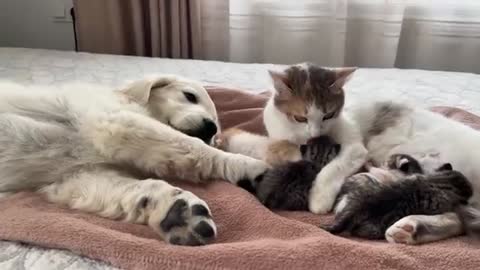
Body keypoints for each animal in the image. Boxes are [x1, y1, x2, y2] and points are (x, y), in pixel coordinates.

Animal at [0, 75, 268, 246]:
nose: (212, 128)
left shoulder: (77, 176)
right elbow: (194, 146)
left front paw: (176, 210)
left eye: (217, 128)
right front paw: (249, 166)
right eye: (189, 96)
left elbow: (134, 187)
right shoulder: (114, 119)